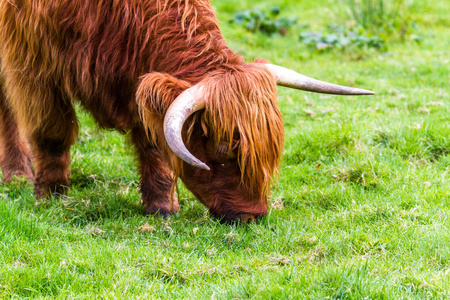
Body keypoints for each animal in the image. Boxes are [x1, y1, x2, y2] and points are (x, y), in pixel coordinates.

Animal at [0, 0, 372, 220]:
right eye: (223, 150)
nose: (254, 215)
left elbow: (153, 139)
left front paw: (162, 205)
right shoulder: (32, 60)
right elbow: (51, 132)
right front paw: (51, 194)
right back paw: (17, 172)